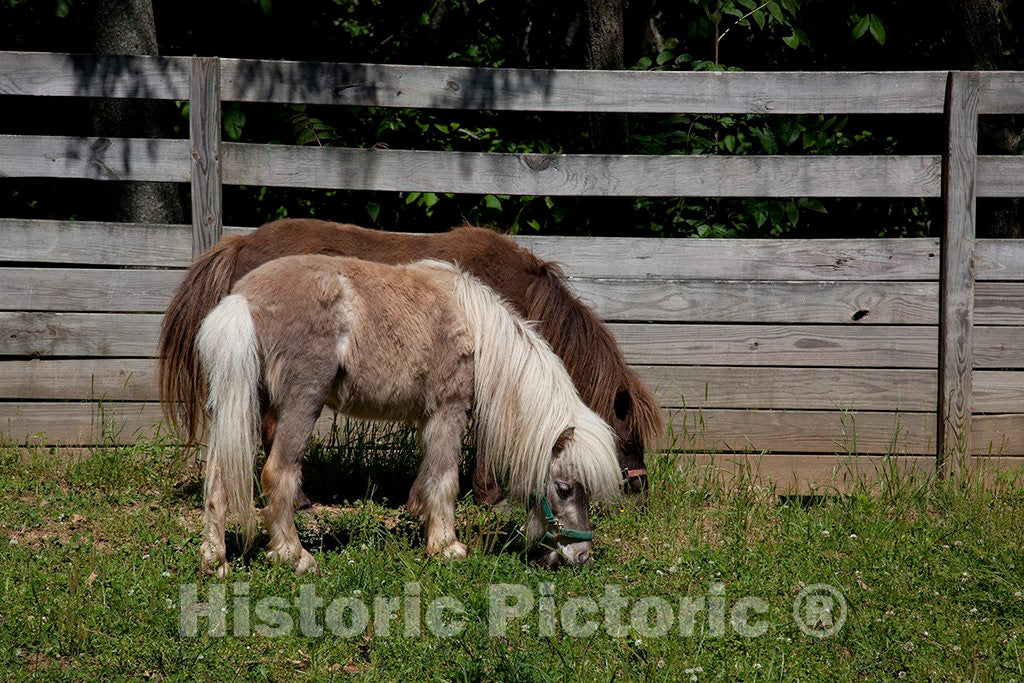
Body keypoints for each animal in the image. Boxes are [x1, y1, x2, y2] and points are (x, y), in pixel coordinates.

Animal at [194, 253, 618, 573]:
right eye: (564, 488)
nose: (581, 557)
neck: (476, 332)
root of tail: (243, 300)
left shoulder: (429, 419)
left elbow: (428, 476)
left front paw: (423, 521)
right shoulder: (449, 412)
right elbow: (446, 479)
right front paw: (447, 547)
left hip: (241, 405)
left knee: (217, 475)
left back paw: (215, 560)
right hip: (301, 405)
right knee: (278, 474)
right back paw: (294, 556)